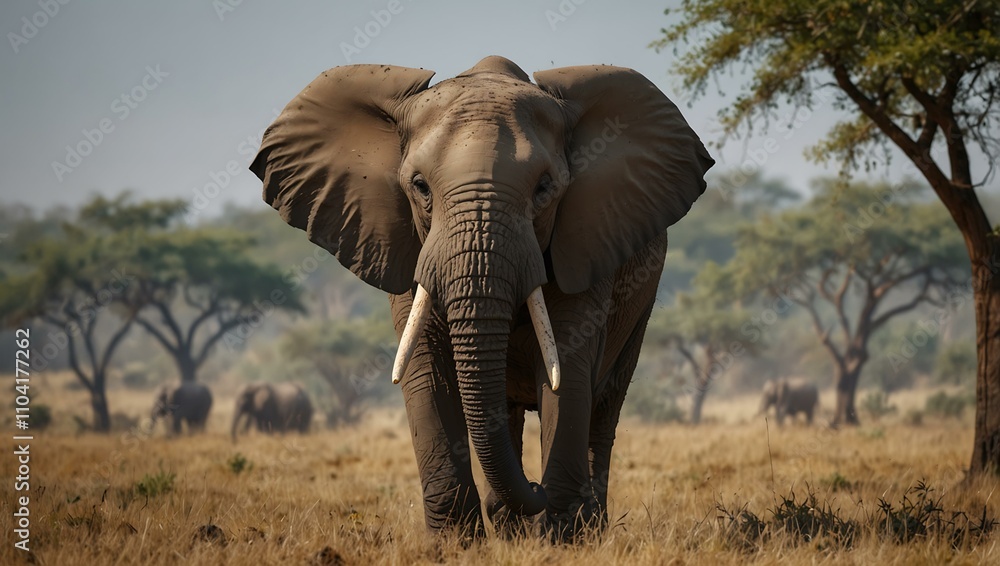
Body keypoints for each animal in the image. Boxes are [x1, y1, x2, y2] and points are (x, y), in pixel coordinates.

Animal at [250, 56, 713, 539]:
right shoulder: (408, 249)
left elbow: (567, 363)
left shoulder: (586, 240)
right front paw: (454, 543)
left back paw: (586, 525)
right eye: (420, 186)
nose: (535, 488)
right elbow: (425, 368)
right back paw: (511, 526)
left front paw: (562, 539)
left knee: (604, 407)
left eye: (544, 188)